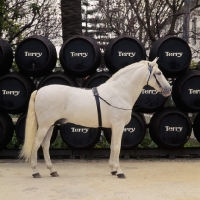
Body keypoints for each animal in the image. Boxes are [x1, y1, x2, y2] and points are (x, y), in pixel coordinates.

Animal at [19, 57, 171, 178]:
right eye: (158, 73)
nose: (168, 89)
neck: (120, 91)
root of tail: (39, 90)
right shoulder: (118, 126)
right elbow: (117, 147)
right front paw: (120, 172)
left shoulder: (114, 127)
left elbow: (113, 147)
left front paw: (113, 170)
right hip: (44, 126)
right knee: (36, 144)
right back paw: (35, 172)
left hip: (50, 125)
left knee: (45, 146)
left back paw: (53, 171)